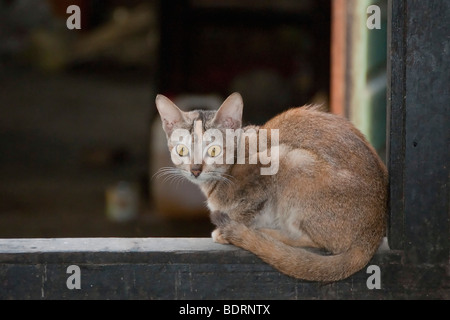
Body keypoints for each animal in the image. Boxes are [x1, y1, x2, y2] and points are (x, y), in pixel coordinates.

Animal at [155, 92, 386, 280]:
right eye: (182, 150)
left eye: (213, 150)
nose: (195, 169)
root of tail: (372, 236)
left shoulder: (265, 168)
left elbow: (246, 209)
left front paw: (230, 228)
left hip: (293, 159)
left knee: (310, 241)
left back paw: (263, 235)